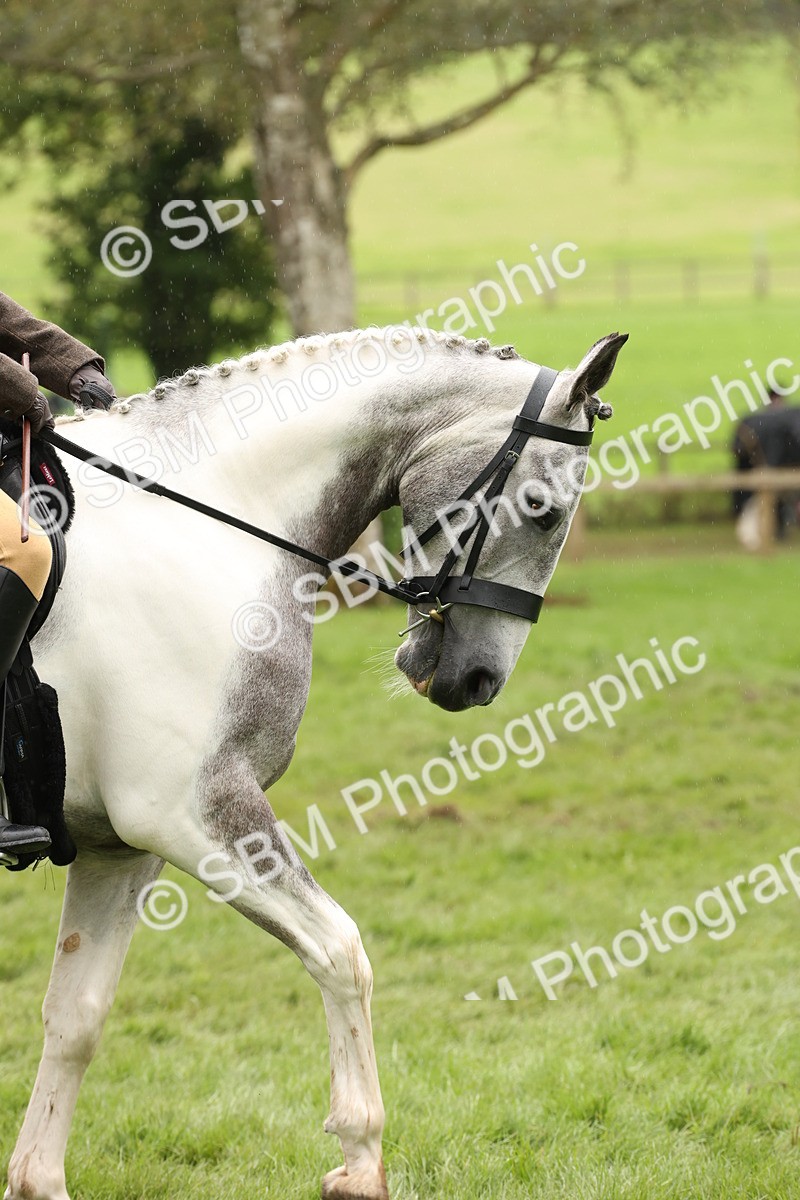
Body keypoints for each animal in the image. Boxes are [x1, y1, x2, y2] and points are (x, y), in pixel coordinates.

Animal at [4, 325, 627, 1200]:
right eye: (542, 510)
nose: (480, 680)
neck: (206, 521)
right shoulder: (196, 812)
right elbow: (341, 951)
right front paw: (360, 1158)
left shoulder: (119, 844)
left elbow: (76, 1017)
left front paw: (37, 1178)